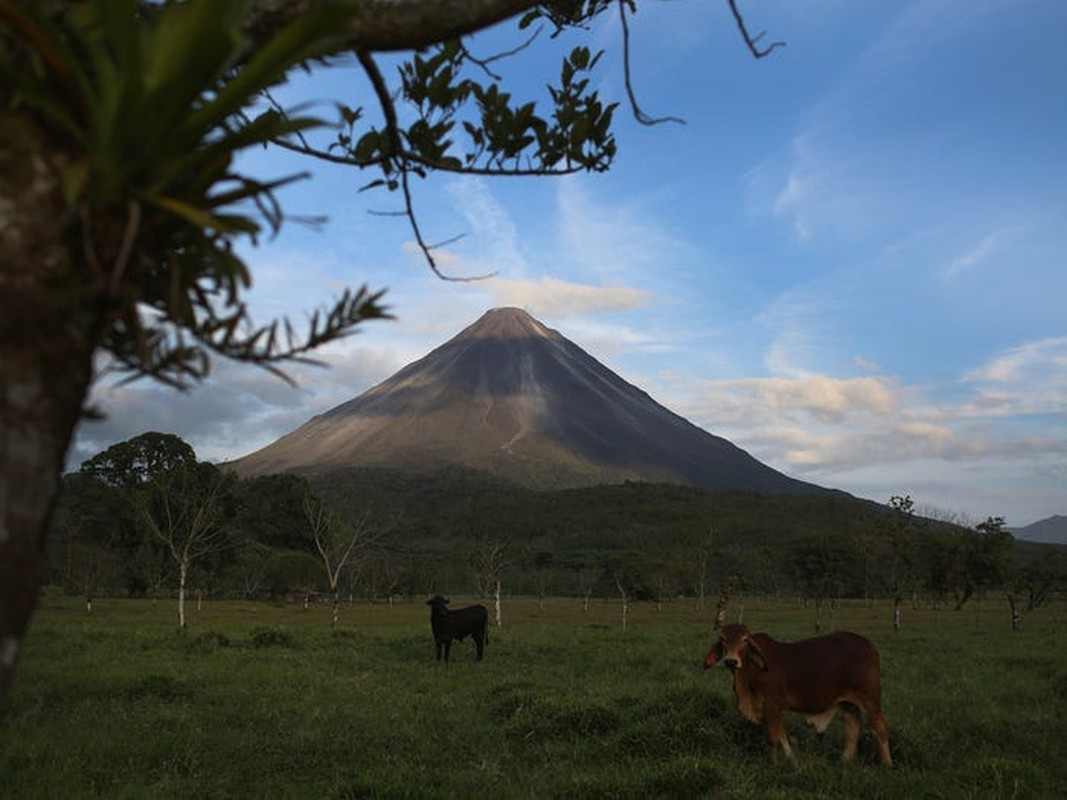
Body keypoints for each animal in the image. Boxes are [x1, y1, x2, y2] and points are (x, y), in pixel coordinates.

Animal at [708, 622, 892, 768]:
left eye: (745, 639)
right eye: (722, 639)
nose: (731, 661)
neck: (750, 672)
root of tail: (869, 645)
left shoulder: (773, 704)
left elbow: (773, 736)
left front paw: (772, 764)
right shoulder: (772, 709)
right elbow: (781, 734)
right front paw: (790, 758)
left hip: (870, 698)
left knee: (880, 727)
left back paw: (887, 763)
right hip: (848, 703)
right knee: (853, 728)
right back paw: (845, 760)